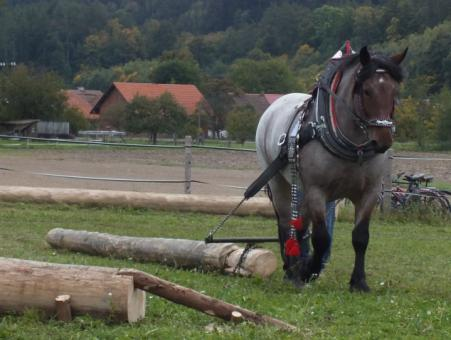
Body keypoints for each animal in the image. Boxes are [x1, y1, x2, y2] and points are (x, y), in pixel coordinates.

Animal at [256, 46, 408, 290]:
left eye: (394, 91)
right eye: (367, 91)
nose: (383, 141)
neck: (354, 148)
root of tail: (277, 104)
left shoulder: (370, 192)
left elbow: (360, 237)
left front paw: (359, 282)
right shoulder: (317, 191)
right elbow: (321, 238)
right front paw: (309, 271)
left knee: (299, 227)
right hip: (279, 182)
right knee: (286, 223)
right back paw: (292, 270)